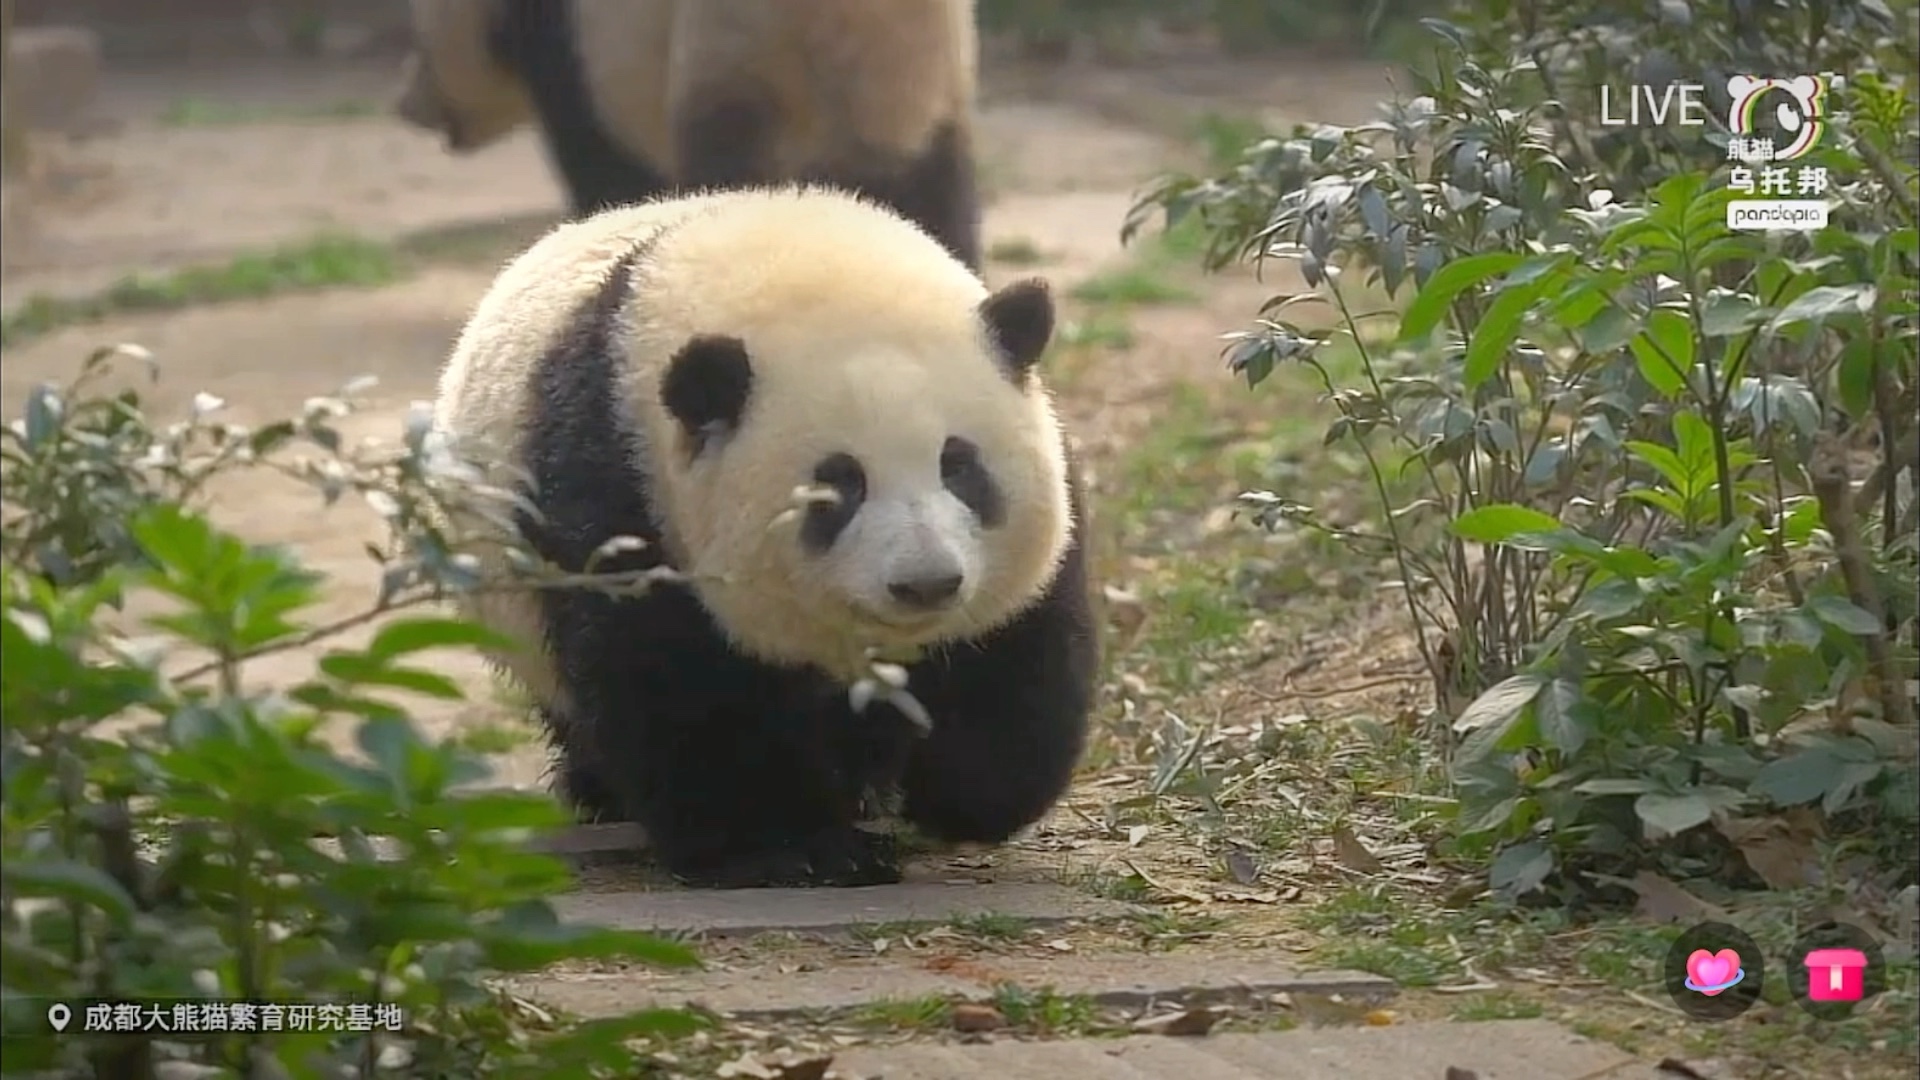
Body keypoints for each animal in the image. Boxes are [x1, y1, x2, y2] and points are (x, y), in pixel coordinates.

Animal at [435, 184, 1098, 887]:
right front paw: (791, 847)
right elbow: (676, 686)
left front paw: (959, 796)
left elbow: (1012, 658)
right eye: (838, 488)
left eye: (959, 465)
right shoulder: (620, 481)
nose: (926, 583)